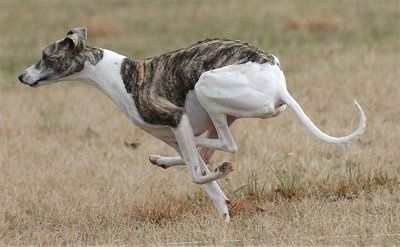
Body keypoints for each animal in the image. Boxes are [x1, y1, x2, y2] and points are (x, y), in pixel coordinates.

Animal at [18, 28, 366, 221]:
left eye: (45, 56)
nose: (21, 76)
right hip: (219, 108)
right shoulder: (175, 132)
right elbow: (204, 181)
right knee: (207, 151)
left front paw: (218, 181)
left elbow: (195, 175)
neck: (122, 76)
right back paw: (167, 160)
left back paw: (205, 161)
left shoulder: (177, 120)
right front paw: (223, 213)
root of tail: (279, 84)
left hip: (206, 85)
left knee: (223, 147)